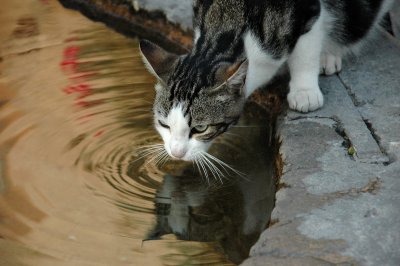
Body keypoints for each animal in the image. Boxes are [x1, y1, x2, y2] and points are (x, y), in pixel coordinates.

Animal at [140, 0, 394, 161]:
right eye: (164, 124)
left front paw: (305, 91)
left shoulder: (307, 11)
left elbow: (306, 50)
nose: (176, 153)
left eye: (200, 128)